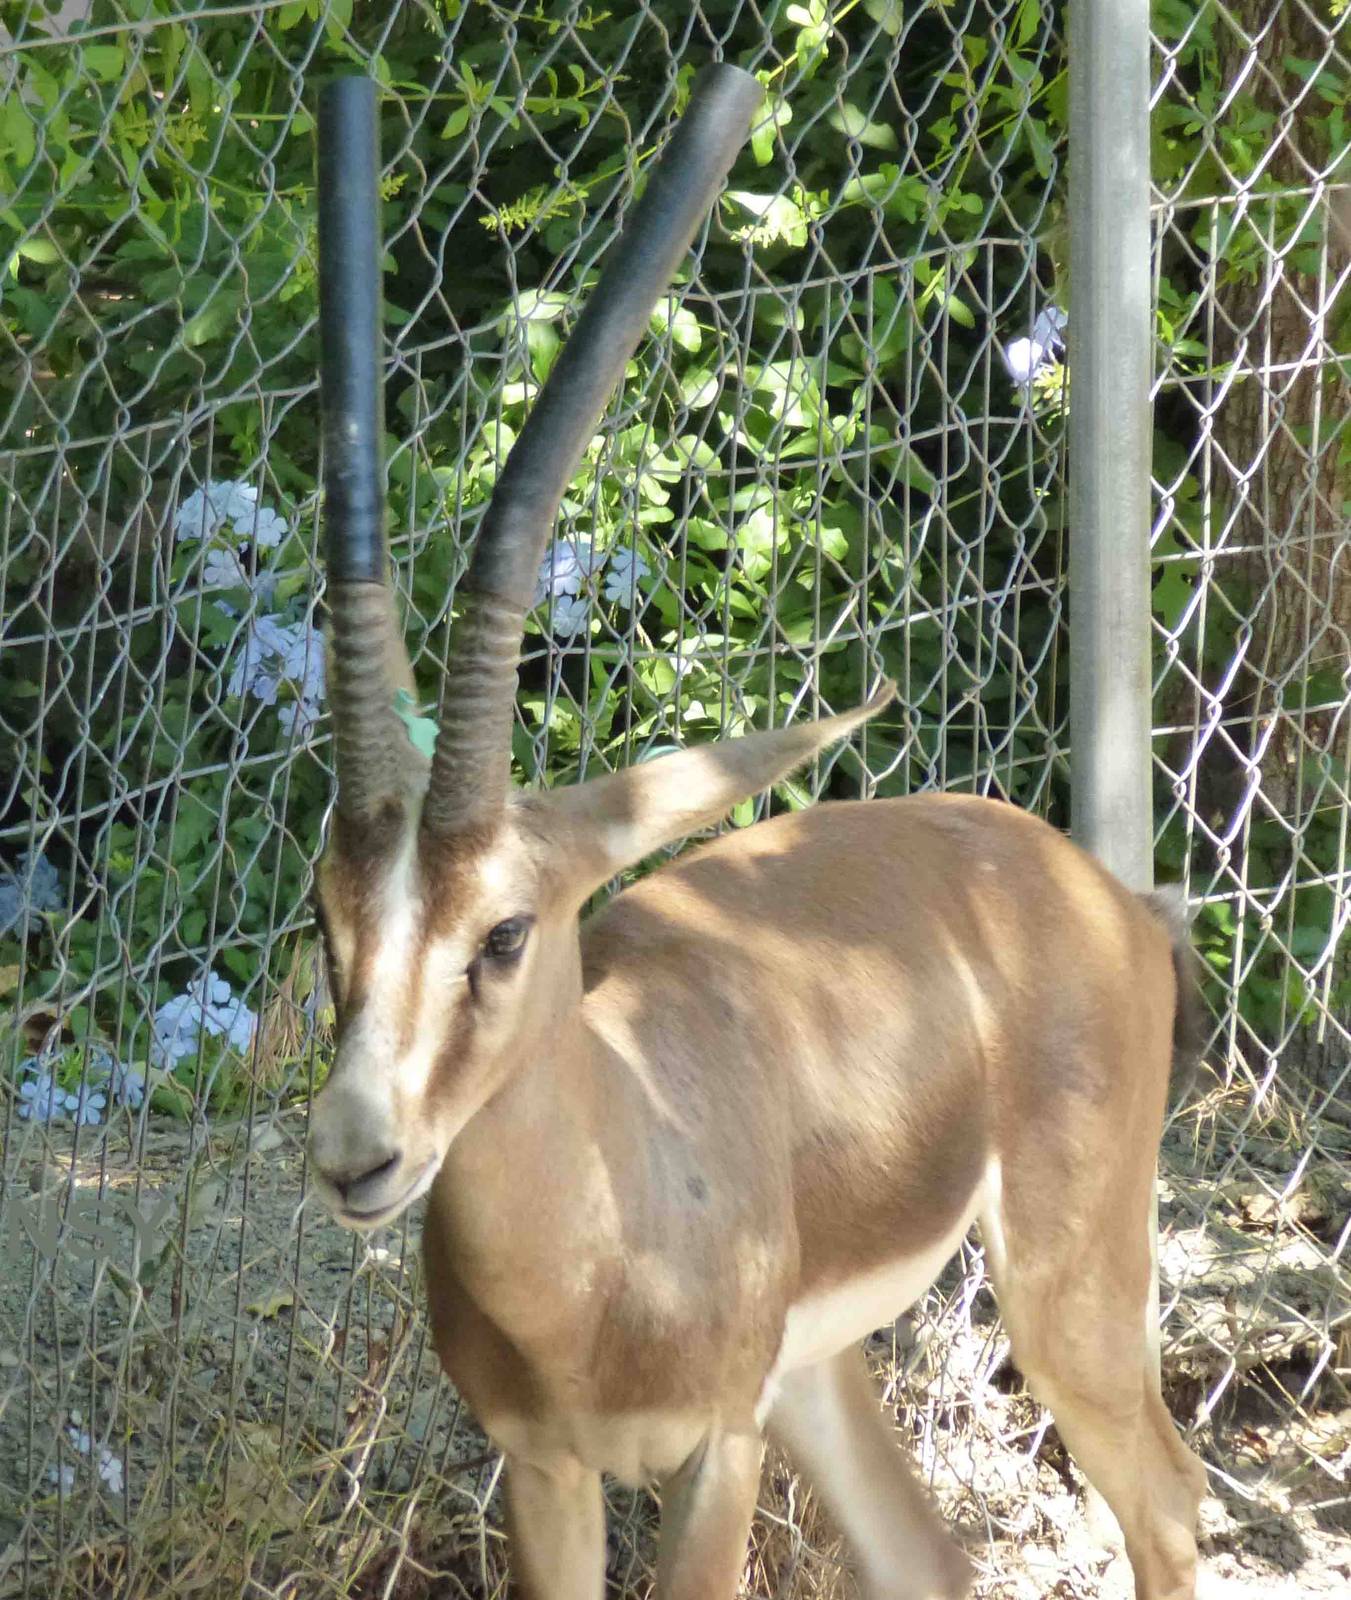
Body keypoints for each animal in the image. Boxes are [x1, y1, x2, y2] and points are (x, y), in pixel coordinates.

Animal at [306, 68, 1208, 1600]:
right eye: (327, 921)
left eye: (504, 926)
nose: (356, 1152)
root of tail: (1098, 895)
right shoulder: (542, 1469)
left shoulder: (712, 1451)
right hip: (818, 1379)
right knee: (931, 1557)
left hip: (1062, 1292)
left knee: (1170, 1497)